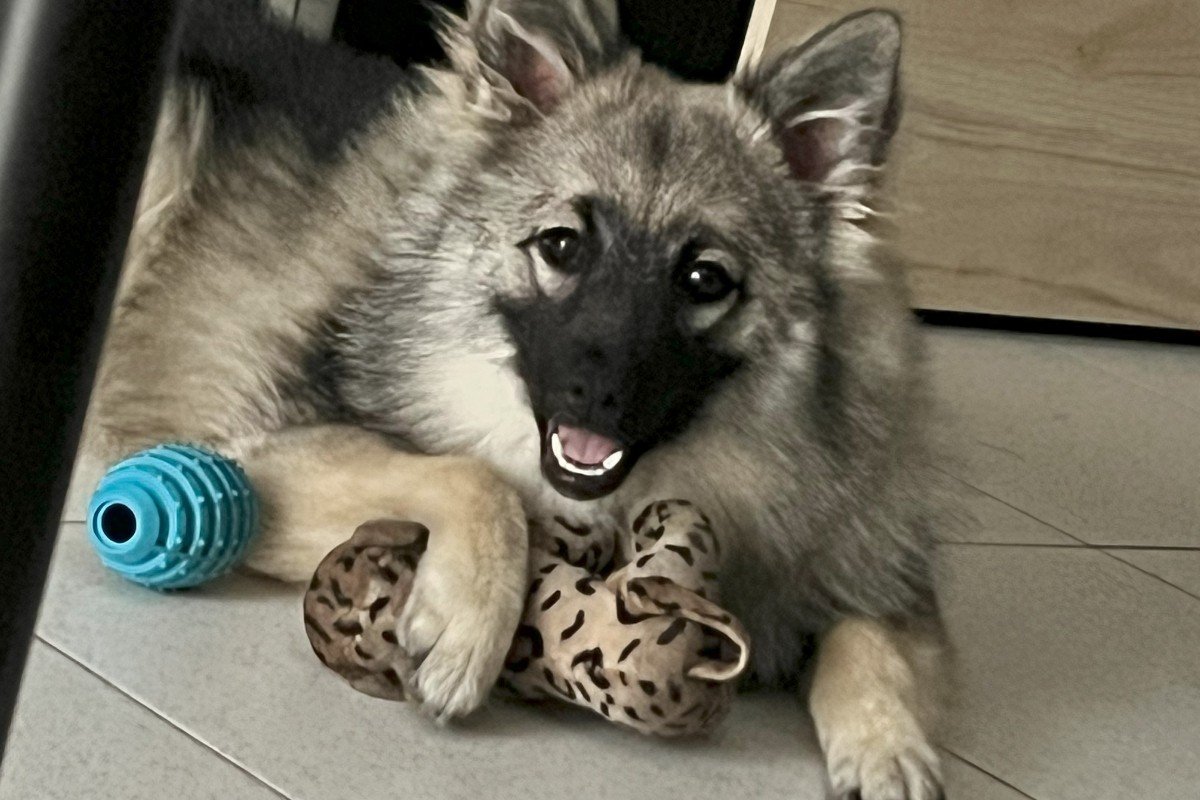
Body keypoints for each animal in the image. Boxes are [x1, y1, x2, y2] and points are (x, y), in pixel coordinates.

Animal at [77, 1, 949, 797]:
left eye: (705, 279)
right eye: (562, 245)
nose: (597, 398)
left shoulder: (866, 557)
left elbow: (869, 635)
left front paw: (888, 746)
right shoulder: (255, 459)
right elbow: (478, 479)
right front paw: (469, 628)